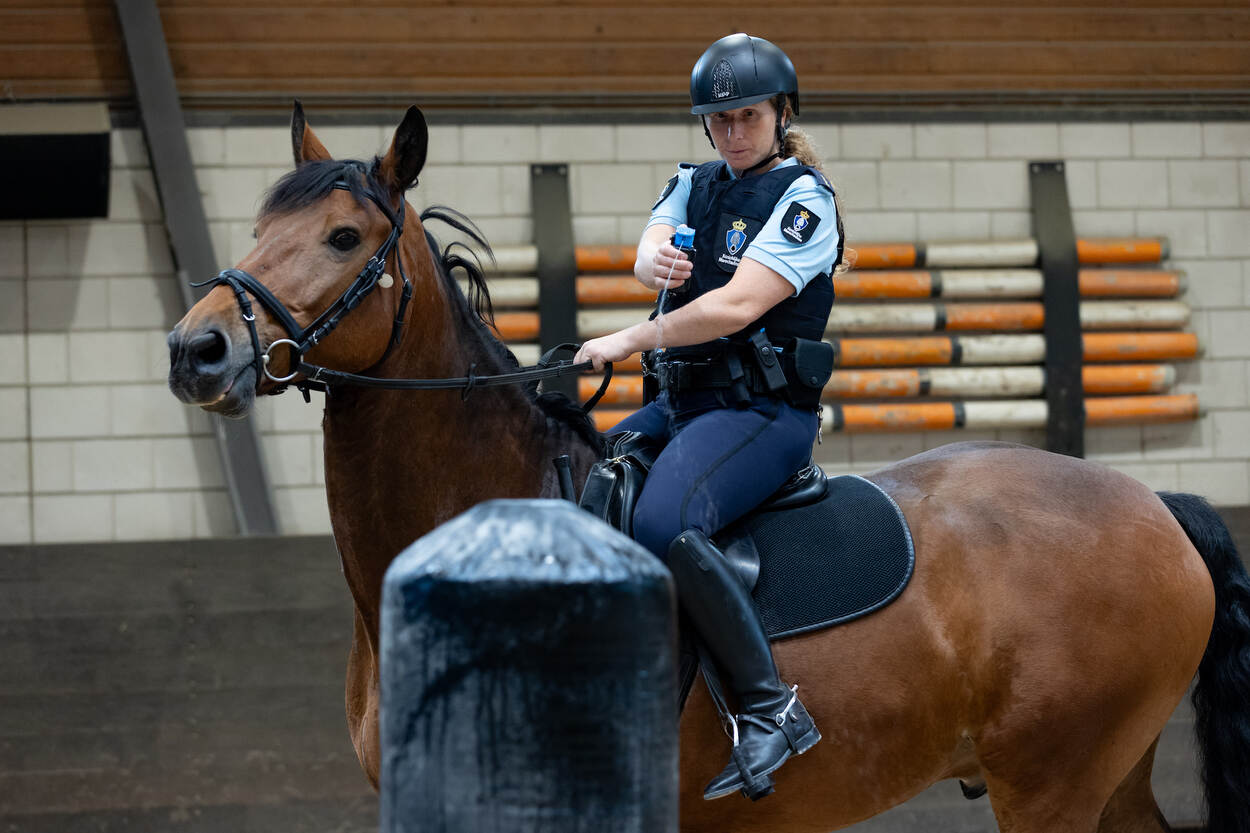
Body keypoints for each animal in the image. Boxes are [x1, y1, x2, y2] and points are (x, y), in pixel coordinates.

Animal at [168, 103, 1250, 830]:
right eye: (257, 230)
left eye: (343, 236)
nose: (197, 349)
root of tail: (1154, 502)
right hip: (1108, 779)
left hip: (1052, 785)